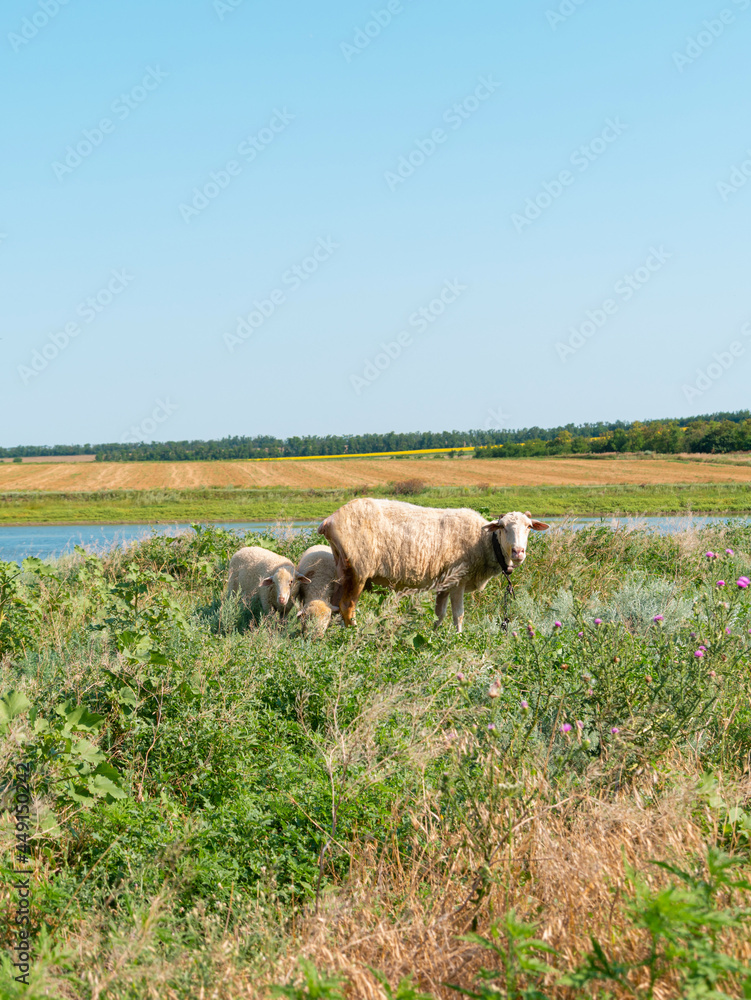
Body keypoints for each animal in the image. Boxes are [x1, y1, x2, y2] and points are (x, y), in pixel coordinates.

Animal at [318, 499, 549, 632]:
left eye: (529, 527)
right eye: (502, 527)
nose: (518, 552)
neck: (483, 542)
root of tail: (329, 520)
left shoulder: (444, 583)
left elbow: (440, 613)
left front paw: (434, 634)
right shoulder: (458, 581)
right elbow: (458, 615)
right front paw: (458, 638)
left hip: (342, 568)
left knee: (334, 605)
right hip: (358, 569)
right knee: (347, 606)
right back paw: (354, 634)